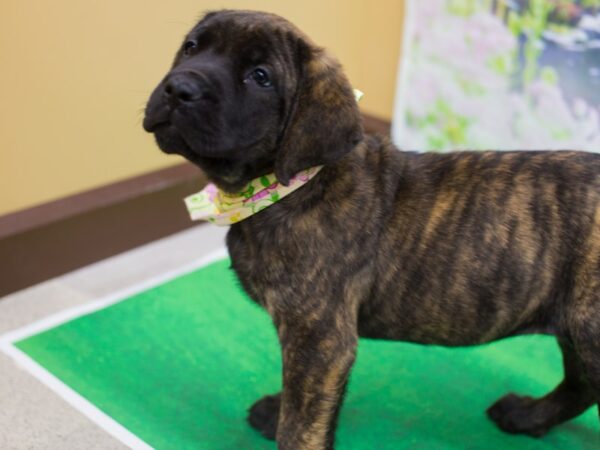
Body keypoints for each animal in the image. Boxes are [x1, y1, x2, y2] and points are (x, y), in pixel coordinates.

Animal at [145, 9, 600, 450]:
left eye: (260, 76)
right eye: (191, 47)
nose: (179, 88)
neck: (291, 185)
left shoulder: (320, 339)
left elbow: (302, 423)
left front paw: (285, 424)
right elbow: (300, 402)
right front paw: (276, 412)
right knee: (581, 386)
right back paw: (526, 417)